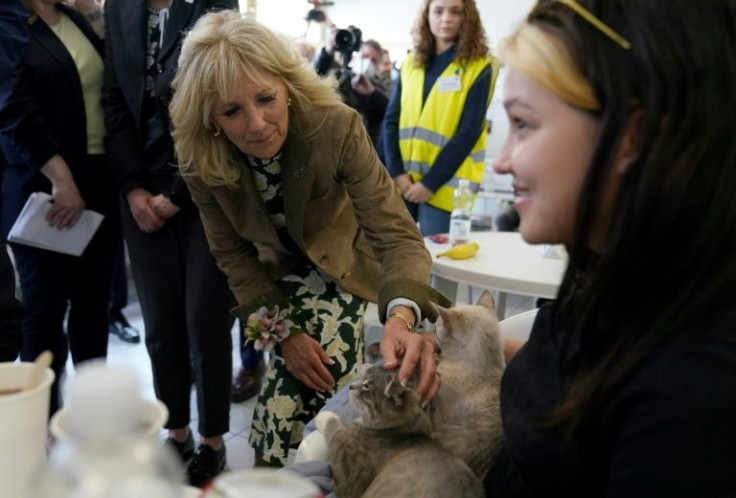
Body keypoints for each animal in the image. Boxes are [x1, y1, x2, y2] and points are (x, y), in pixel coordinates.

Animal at [314, 364, 484, 498]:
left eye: (366, 386)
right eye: (363, 381)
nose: (350, 387)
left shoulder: (347, 474)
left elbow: (334, 430)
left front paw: (323, 415)